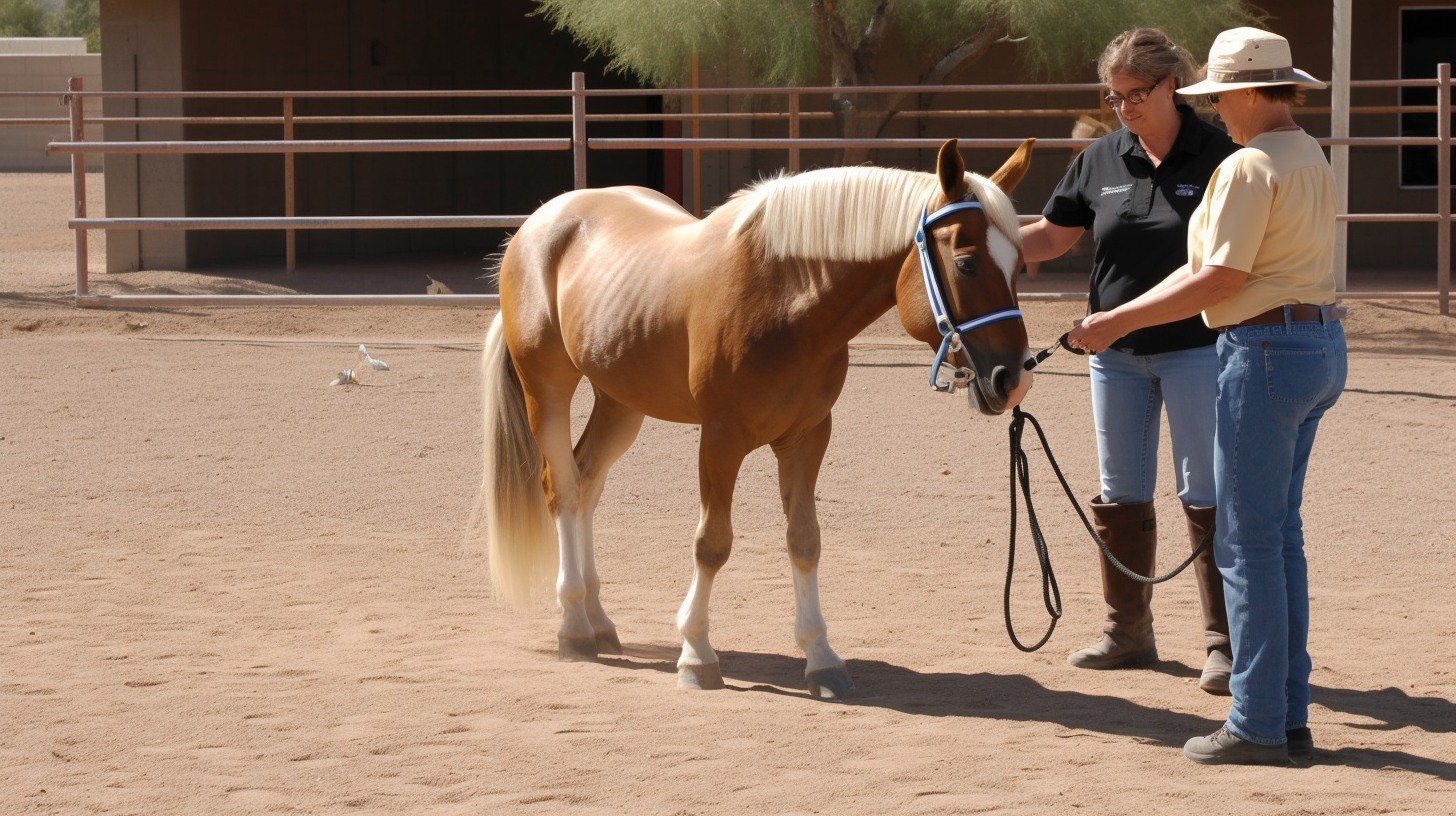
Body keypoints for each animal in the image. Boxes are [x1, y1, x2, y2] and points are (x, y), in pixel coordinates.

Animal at [480, 136, 1036, 699]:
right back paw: (574, 628)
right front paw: (696, 654)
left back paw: (598, 621)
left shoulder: (807, 435)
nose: (1013, 380)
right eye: (966, 264)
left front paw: (821, 658)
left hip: (621, 402)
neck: (784, 299)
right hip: (547, 389)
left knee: (588, 483)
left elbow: (804, 540)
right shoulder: (720, 437)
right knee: (563, 490)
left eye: (1020, 266)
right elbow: (712, 543)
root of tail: (540, 222)